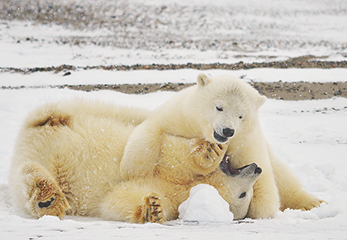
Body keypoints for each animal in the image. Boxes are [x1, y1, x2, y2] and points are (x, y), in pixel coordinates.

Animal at [8, 98, 260, 223]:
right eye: (244, 195)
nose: (257, 168)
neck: (184, 186)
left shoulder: (173, 197)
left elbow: (117, 200)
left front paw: (153, 209)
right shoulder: (167, 165)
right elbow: (169, 152)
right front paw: (211, 151)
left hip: (40, 157)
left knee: (27, 172)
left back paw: (47, 199)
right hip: (77, 118)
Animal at [121, 73, 324, 219]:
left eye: (241, 115)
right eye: (219, 107)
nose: (227, 130)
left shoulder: (246, 143)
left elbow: (263, 177)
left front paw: (260, 209)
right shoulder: (179, 117)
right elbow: (150, 130)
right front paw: (133, 171)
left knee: (285, 179)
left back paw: (315, 203)